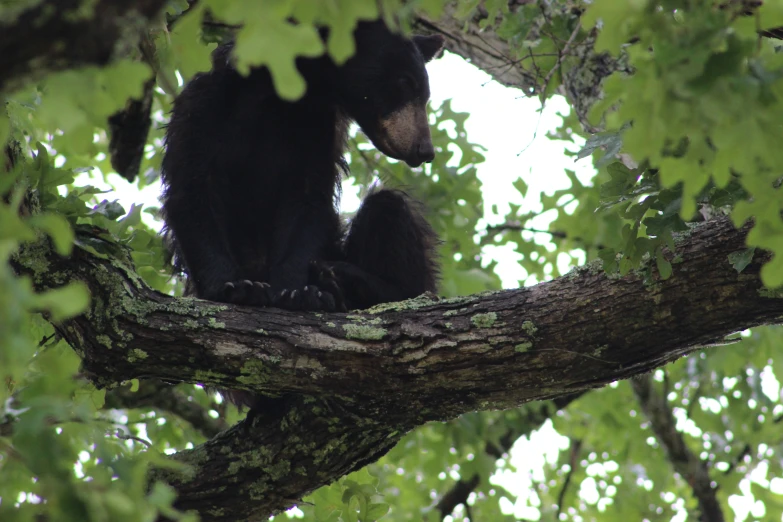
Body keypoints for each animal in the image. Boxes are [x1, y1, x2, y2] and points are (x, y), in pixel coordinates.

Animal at [162, 21, 444, 316]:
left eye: (425, 93)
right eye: (405, 82)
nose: (425, 150)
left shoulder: (315, 125)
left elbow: (307, 200)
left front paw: (300, 292)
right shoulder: (206, 104)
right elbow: (193, 189)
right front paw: (235, 287)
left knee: (389, 210)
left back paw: (344, 278)